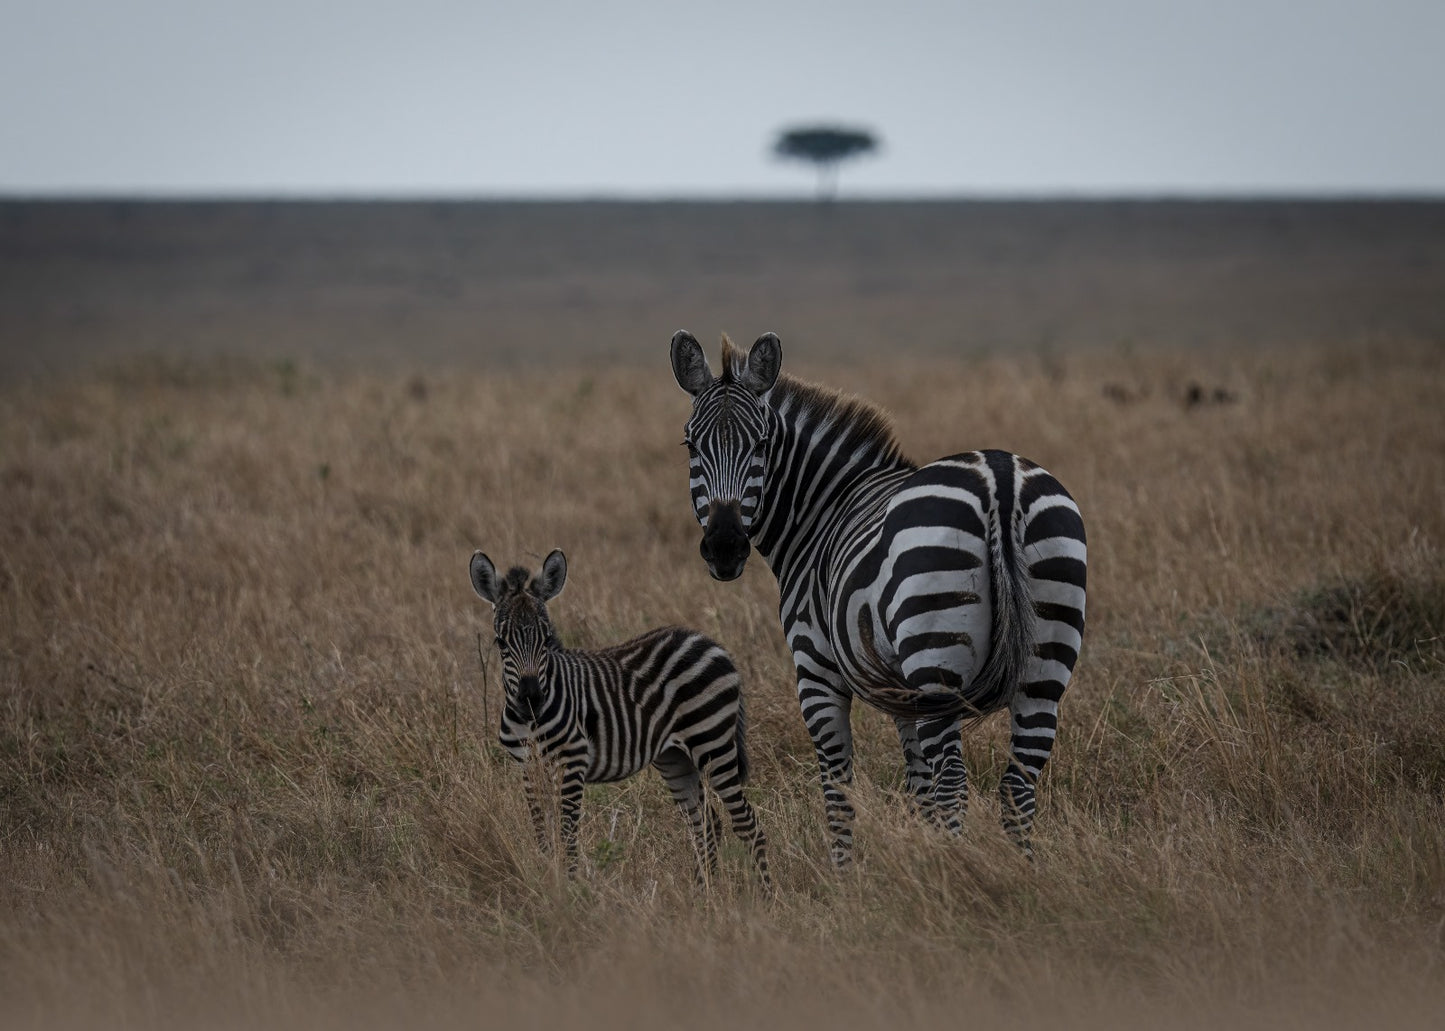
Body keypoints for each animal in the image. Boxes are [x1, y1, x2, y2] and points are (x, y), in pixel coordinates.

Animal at [471, 546, 768, 884]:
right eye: (500, 642)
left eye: (546, 639)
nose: (531, 698)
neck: (530, 721)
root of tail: (711, 642)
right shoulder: (528, 766)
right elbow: (543, 833)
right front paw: (549, 878)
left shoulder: (573, 760)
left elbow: (567, 834)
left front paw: (571, 887)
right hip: (675, 757)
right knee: (706, 826)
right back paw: (703, 893)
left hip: (713, 742)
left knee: (748, 826)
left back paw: (765, 895)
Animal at [670, 329, 1086, 861]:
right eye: (690, 444)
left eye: (761, 443)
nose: (724, 547)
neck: (822, 512)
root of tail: (1001, 481)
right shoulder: (900, 694)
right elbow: (918, 786)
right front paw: (922, 856)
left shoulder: (816, 670)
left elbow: (838, 788)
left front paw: (844, 873)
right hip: (1043, 663)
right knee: (1016, 785)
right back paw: (1019, 871)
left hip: (936, 663)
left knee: (954, 784)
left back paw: (958, 868)